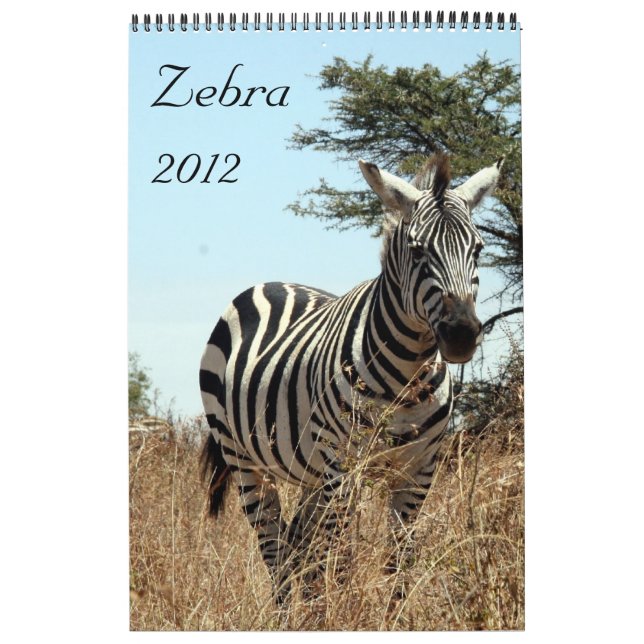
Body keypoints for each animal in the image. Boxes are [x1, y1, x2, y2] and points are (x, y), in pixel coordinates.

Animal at [199, 152, 502, 602]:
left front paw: (392, 613)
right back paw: (287, 610)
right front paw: (343, 610)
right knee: (275, 548)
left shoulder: (419, 472)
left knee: (298, 546)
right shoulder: (344, 470)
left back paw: (308, 609)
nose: (462, 333)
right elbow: (341, 562)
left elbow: (398, 562)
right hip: (244, 459)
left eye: (479, 249)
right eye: (417, 251)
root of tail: (270, 283)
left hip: (311, 470)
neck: (407, 380)